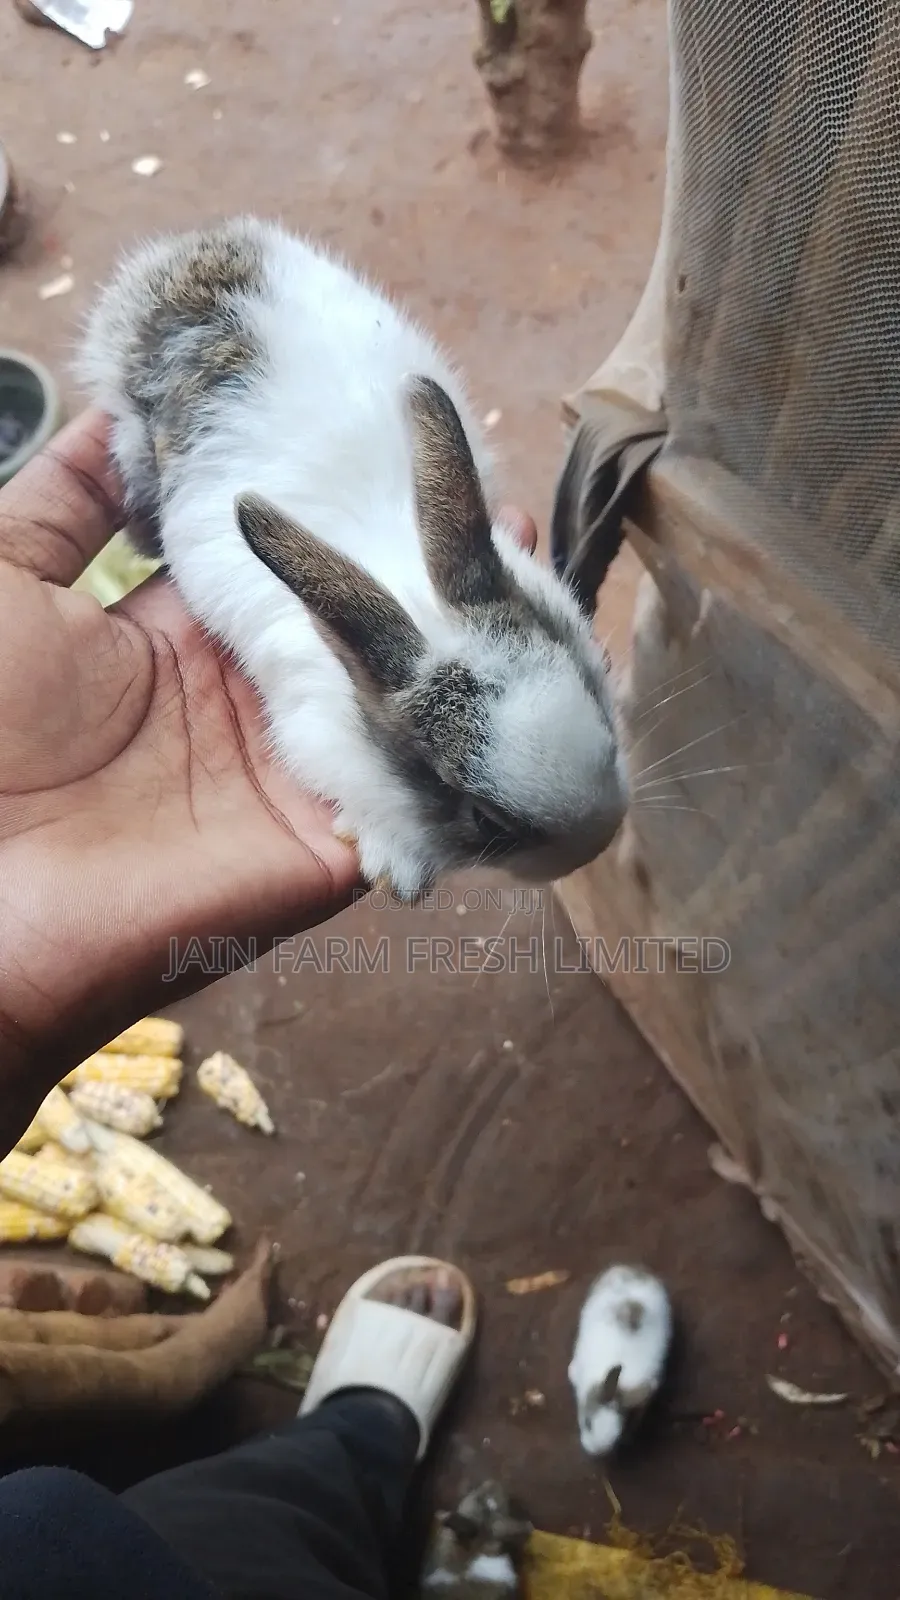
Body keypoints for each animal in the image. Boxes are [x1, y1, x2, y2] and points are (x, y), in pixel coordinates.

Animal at [76, 215, 626, 901]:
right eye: (487, 818)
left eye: (595, 697)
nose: (600, 840)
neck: (405, 588)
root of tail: (191, 250)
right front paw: (397, 864)